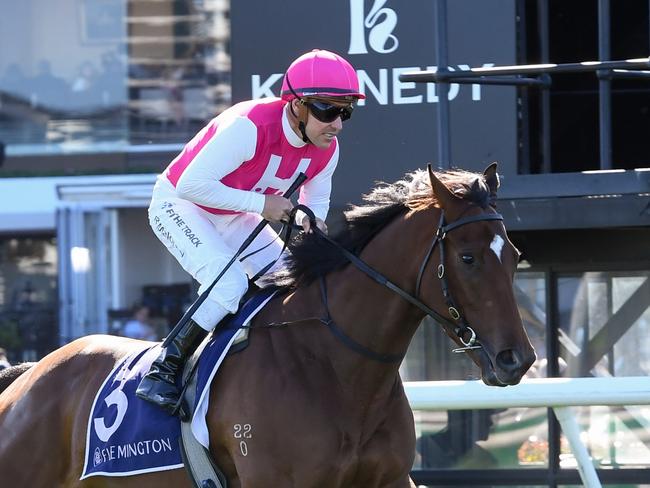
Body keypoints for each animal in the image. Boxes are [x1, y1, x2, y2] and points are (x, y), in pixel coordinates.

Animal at [0, 165, 536, 488]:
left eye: (514, 256)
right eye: (467, 258)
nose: (518, 359)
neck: (337, 369)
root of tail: (29, 376)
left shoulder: (389, 478)